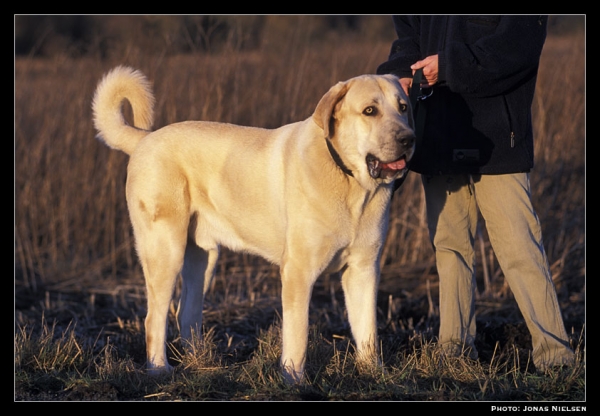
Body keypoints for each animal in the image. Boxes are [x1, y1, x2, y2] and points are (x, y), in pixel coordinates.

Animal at [91, 66, 414, 384]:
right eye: (370, 110)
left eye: (403, 107)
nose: (408, 139)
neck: (351, 183)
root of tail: (144, 139)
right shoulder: (298, 271)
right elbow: (298, 335)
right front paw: (294, 381)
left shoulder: (364, 269)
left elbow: (368, 330)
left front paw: (375, 375)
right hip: (165, 250)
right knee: (153, 317)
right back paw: (159, 369)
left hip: (203, 258)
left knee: (186, 311)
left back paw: (201, 363)